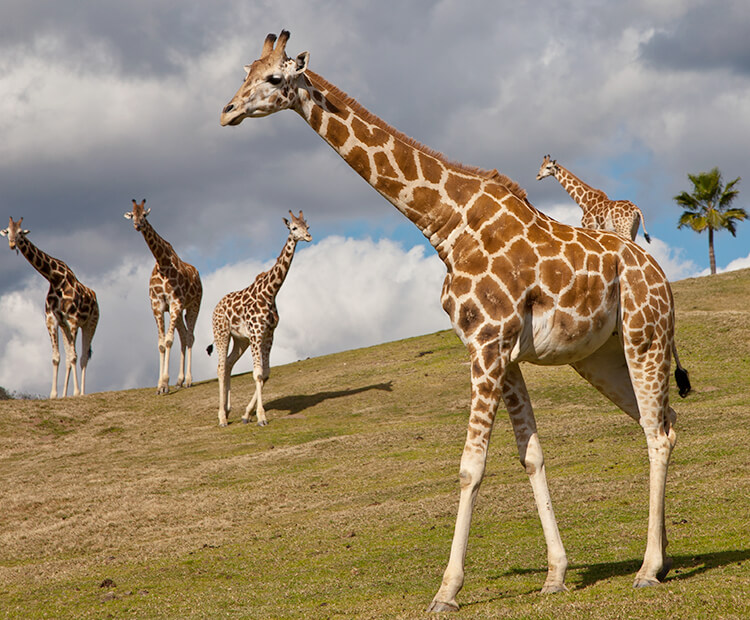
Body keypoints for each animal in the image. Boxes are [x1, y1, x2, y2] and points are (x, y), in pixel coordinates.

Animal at [0, 218, 99, 400]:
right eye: (7, 231)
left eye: (20, 232)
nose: (11, 244)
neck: (55, 279)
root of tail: (94, 296)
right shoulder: (52, 320)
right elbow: (57, 357)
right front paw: (54, 394)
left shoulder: (73, 319)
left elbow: (74, 356)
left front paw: (75, 393)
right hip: (66, 327)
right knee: (69, 357)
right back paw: (66, 394)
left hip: (90, 323)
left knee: (82, 356)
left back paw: (81, 392)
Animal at [125, 201, 204, 394]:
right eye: (133, 215)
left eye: (145, 215)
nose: (137, 225)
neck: (163, 264)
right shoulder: (158, 305)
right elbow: (161, 343)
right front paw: (161, 384)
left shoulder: (175, 302)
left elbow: (168, 341)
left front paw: (165, 384)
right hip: (180, 310)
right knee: (183, 336)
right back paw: (180, 380)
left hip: (194, 305)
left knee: (190, 337)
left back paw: (188, 380)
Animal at [220, 30, 696, 612]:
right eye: (245, 72)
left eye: (273, 77)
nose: (227, 111)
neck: (445, 225)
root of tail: (662, 278)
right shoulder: (499, 351)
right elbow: (531, 456)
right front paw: (556, 574)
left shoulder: (488, 343)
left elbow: (471, 466)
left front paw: (446, 591)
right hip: (599, 358)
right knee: (664, 422)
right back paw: (663, 559)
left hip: (644, 337)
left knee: (656, 432)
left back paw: (648, 569)